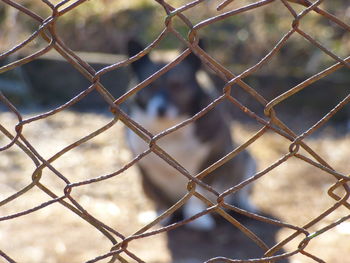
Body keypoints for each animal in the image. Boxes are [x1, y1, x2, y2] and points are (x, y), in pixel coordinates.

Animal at [126, 40, 258, 232]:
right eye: (150, 85)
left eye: (177, 85)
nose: (161, 109)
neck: (169, 129)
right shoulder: (146, 169)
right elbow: (158, 197)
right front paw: (161, 215)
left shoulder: (210, 162)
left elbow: (197, 194)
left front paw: (197, 217)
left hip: (247, 158)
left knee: (242, 193)